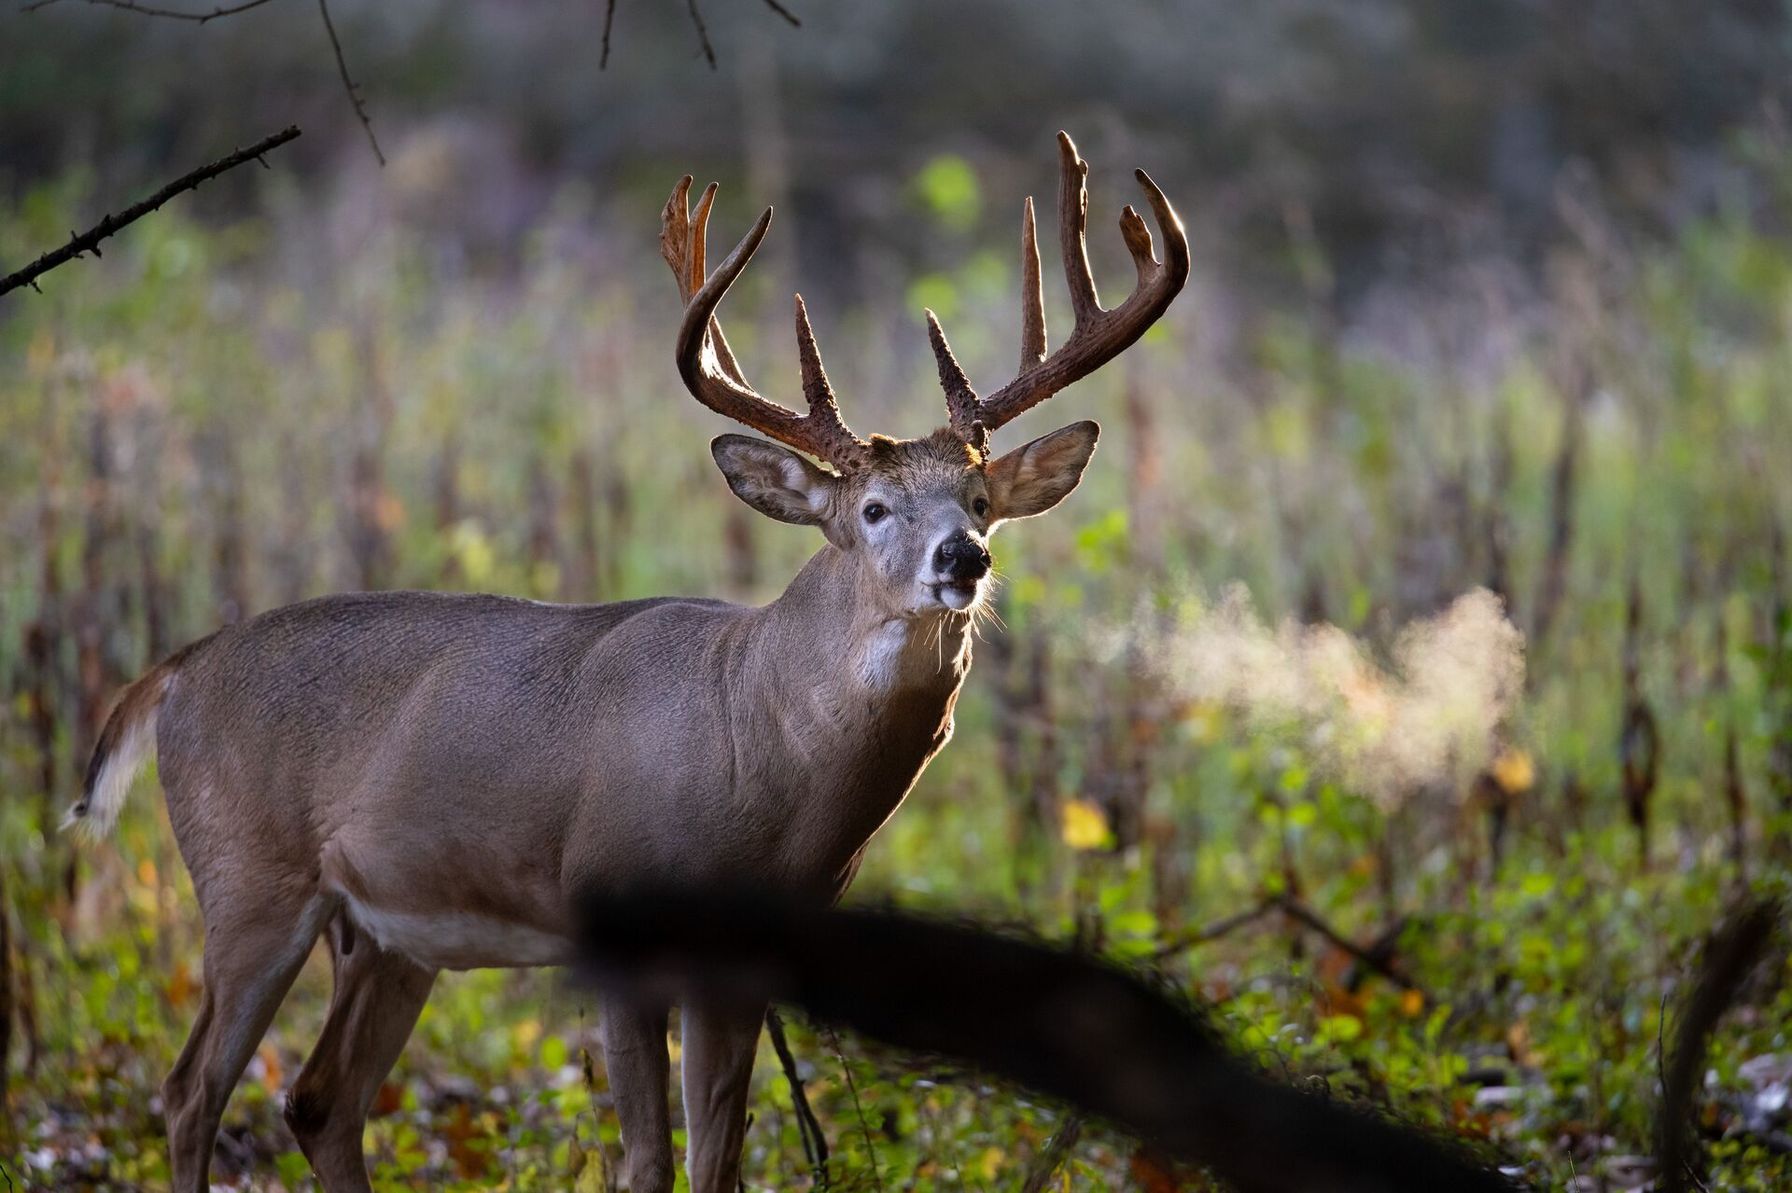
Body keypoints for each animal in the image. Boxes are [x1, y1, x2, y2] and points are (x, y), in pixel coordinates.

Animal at [64, 132, 1188, 1193]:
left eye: (982, 499)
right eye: (872, 510)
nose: (965, 557)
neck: (753, 748)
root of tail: (178, 668)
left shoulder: (755, 958)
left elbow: (721, 1158)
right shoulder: (611, 917)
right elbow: (648, 1160)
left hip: (381, 929)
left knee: (316, 1099)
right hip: (248, 874)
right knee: (190, 1089)